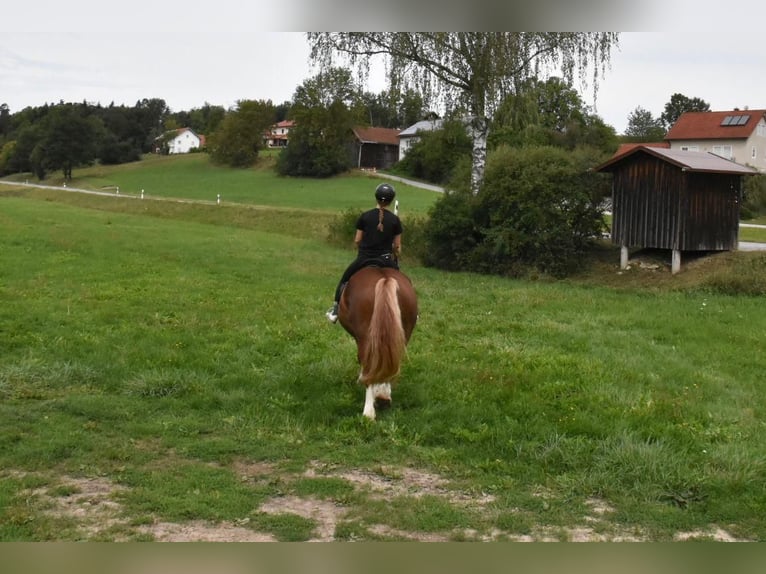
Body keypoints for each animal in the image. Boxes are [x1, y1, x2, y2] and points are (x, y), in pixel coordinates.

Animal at [338, 266, 418, 420]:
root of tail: (385, 279)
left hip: (366, 337)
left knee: (369, 364)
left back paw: (368, 412)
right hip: (402, 334)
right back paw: (384, 397)